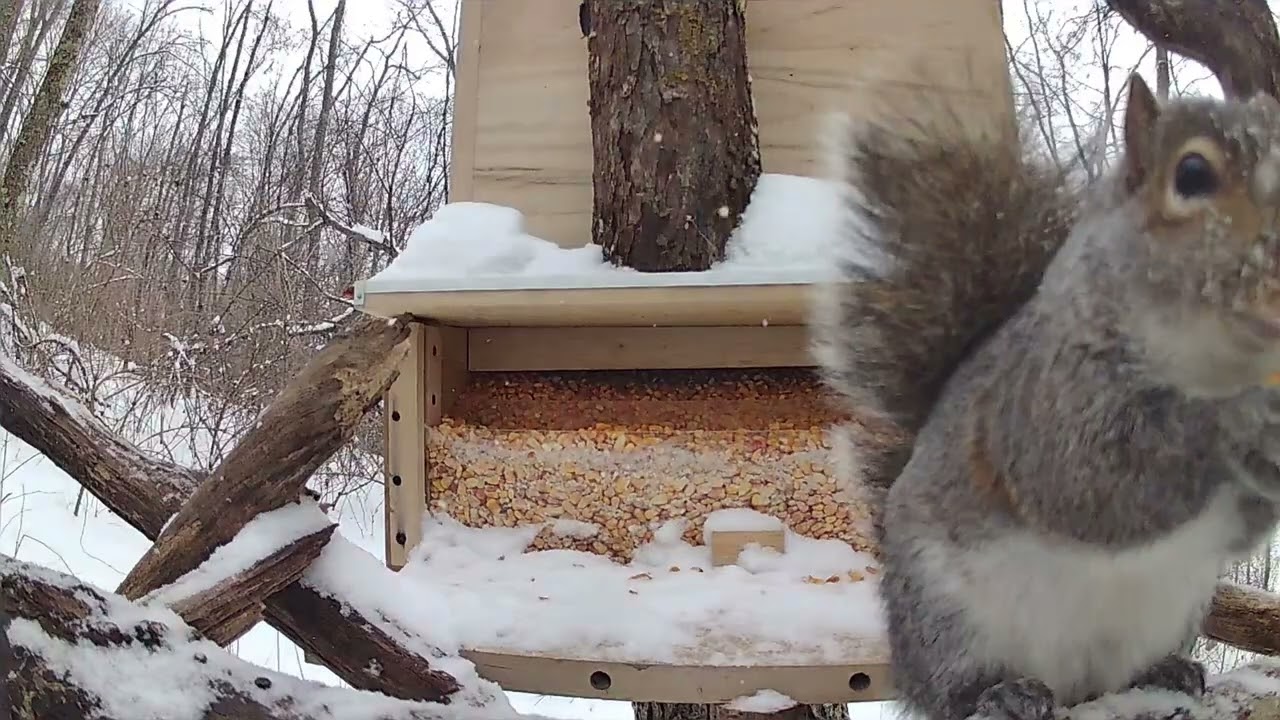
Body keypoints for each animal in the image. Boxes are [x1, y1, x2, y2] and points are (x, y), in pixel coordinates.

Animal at [810, 73, 1280, 720]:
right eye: (1191, 174)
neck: (1218, 362)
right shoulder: (1045, 400)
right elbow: (1092, 482)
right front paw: (1234, 419)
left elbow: (1243, 529)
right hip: (947, 617)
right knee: (950, 692)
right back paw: (1000, 691)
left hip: (1179, 608)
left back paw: (1165, 671)